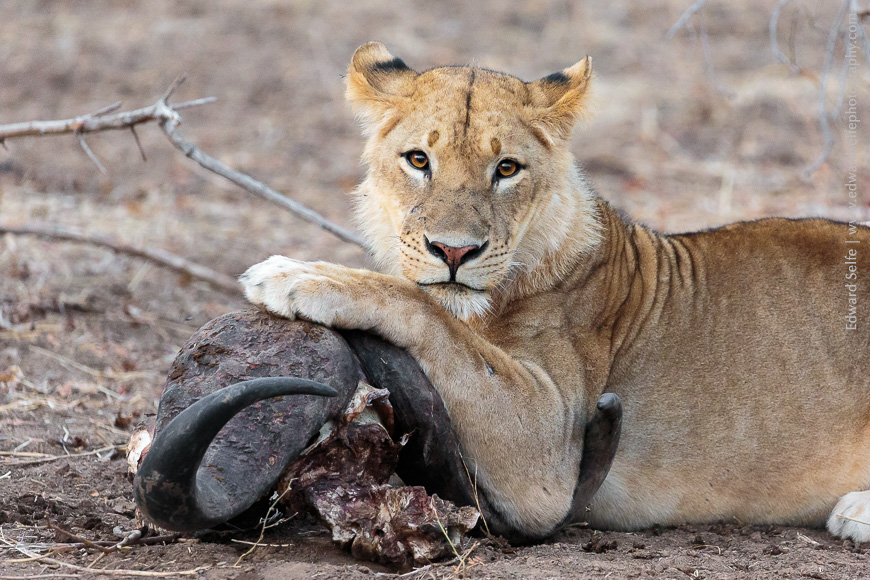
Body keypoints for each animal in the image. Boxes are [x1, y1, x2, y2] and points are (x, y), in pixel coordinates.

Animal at [241, 42, 870, 542]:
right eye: (418, 159)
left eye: (507, 168)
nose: (454, 253)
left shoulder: (550, 447)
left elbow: (422, 306)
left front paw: (300, 274)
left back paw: (854, 513)